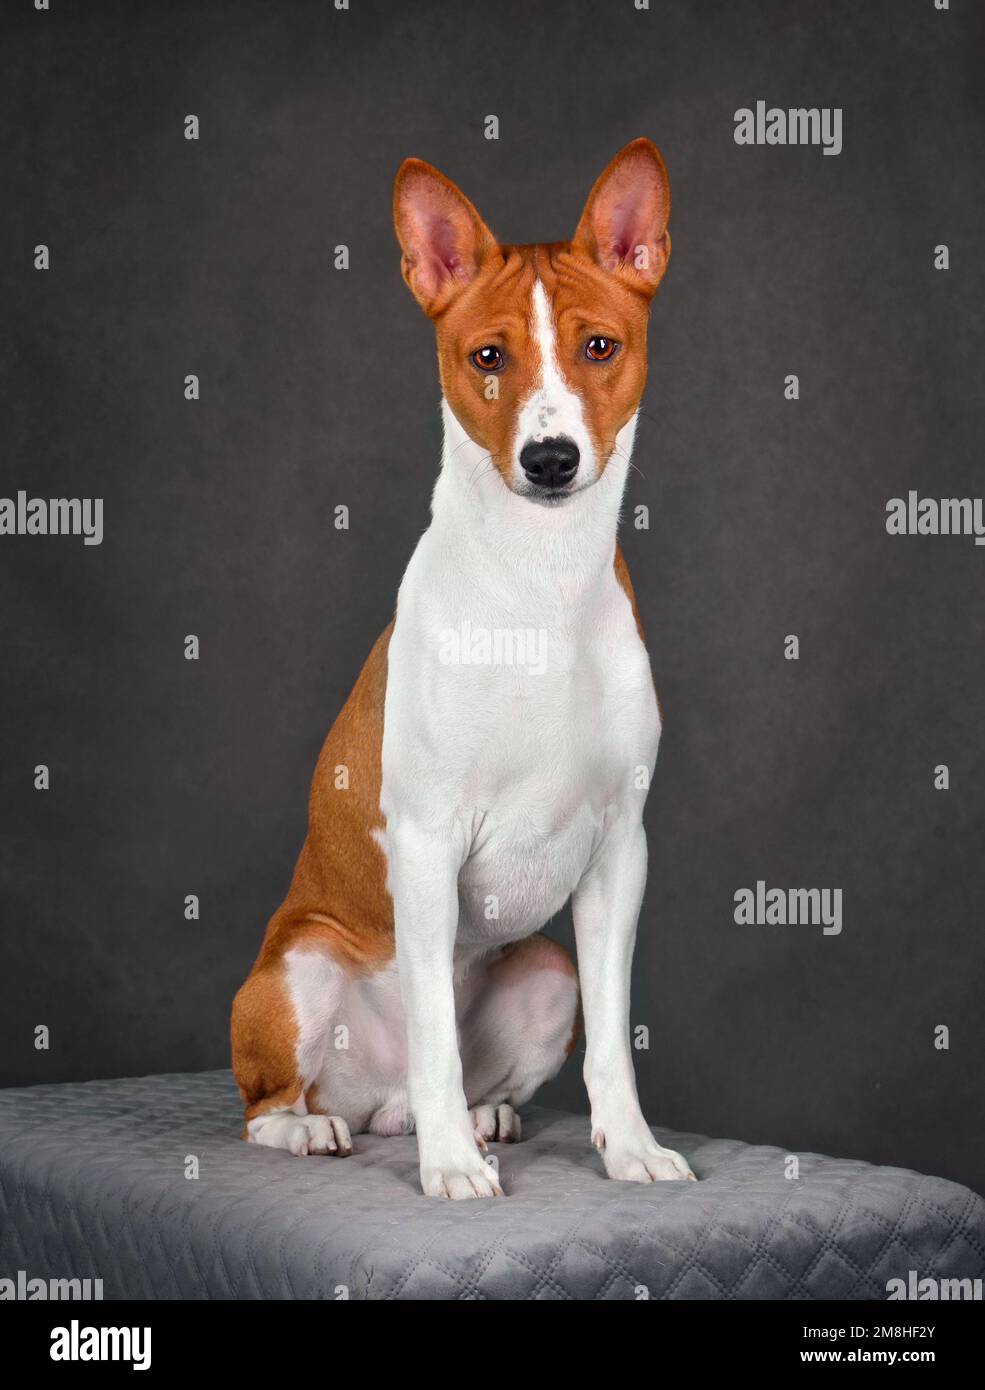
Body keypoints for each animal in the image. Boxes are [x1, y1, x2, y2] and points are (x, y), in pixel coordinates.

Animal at [232, 138, 694, 1195]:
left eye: (598, 347)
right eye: (488, 356)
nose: (551, 457)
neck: (540, 587)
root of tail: (371, 1097)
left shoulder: (620, 851)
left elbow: (615, 1043)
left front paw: (631, 1147)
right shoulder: (428, 840)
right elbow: (438, 1038)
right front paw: (448, 1172)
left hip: (546, 974)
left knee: (442, 1081)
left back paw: (481, 1119)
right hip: (296, 971)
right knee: (278, 1102)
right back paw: (329, 1131)